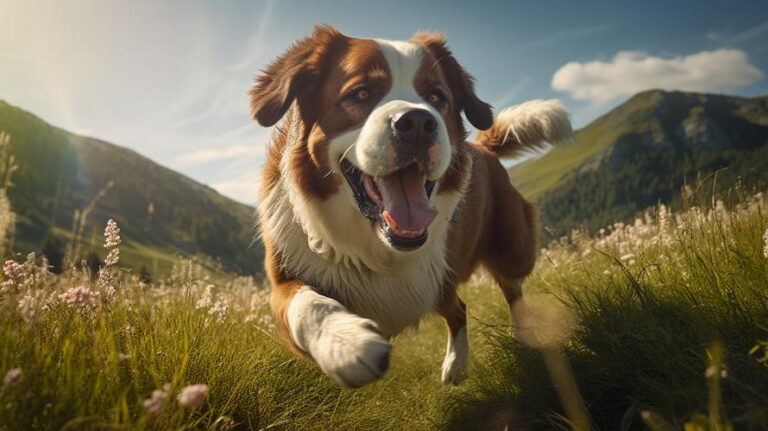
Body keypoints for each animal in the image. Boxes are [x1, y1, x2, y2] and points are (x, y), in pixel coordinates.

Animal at [252, 26, 568, 388]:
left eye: (436, 97)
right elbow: (309, 303)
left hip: (507, 249)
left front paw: (347, 342)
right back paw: (455, 366)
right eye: (361, 93)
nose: (417, 122)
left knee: (512, 290)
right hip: (440, 283)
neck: (376, 248)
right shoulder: (283, 282)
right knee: (458, 309)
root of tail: (484, 149)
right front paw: (346, 342)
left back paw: (520, 335)